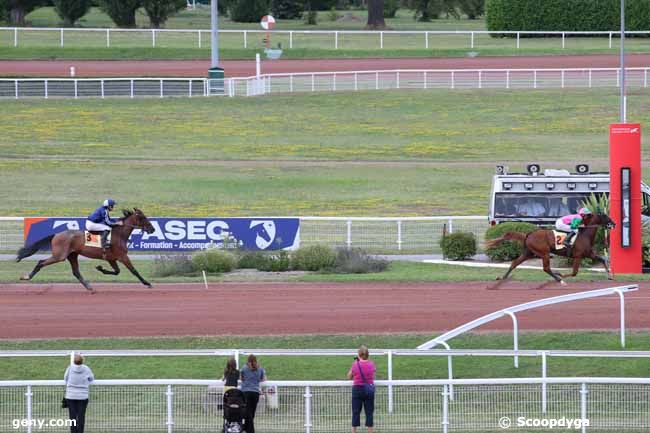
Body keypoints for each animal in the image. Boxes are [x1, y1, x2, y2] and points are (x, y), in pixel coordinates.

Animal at [15, 208, 155, 292]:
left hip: (72, 255)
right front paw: (147, 283)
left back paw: (89, 287)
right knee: (41, 262)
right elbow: (134, 271)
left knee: (76, 272)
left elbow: (117, 272)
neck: (119, 234)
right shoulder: (122, 256)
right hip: (60, 255)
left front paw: (100, 268)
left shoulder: (111, 258)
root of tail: (56, 234)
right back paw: (27, 276)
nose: (152, 229)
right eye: (143, 217)